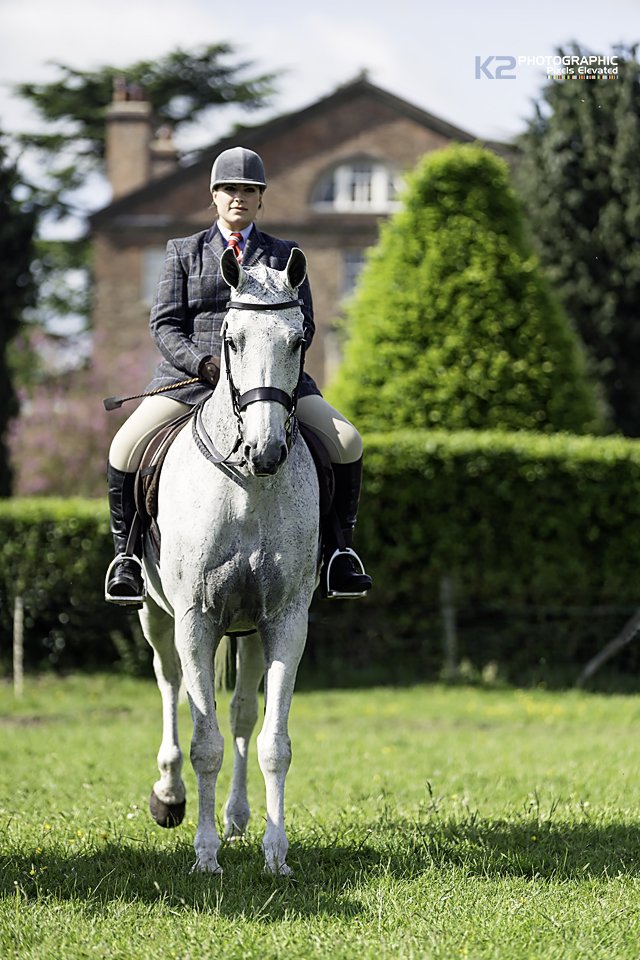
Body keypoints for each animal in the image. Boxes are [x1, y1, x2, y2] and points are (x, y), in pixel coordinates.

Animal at [137, 246, 319, 876]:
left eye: (299, 338)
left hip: (250, 630)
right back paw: (169, 797)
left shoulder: (285, 620)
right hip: (155, 614)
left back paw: (239, 818)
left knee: (241, 713)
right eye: (232, 341)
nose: (267, 451)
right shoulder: (196, 619)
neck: (248, 485)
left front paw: (276, 853)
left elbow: (273, 742)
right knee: (169, 685)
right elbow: (205, 743)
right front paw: (205, 854)